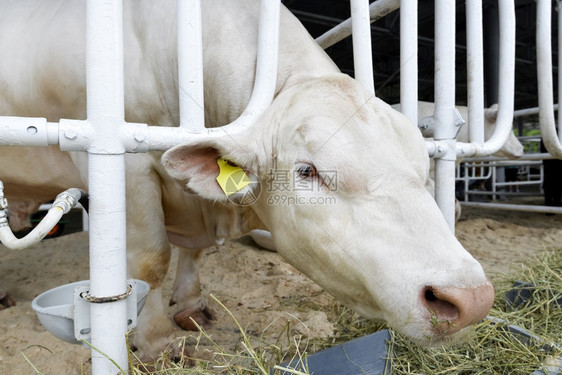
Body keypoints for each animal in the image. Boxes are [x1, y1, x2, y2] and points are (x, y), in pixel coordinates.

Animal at [0, 0, 492, 362]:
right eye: (307, 171)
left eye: (422, 169)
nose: (469, 300)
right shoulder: (123, 165)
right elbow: (151, 261)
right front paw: (155, 340)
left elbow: (194, 253)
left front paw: (190, 306)